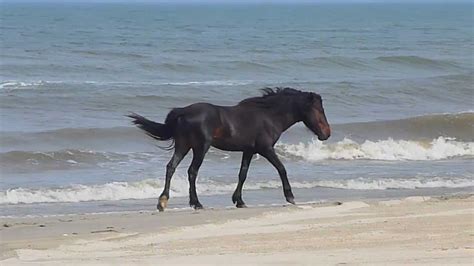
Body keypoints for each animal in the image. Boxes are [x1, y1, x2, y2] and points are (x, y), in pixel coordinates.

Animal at [128, 88, 332, 212]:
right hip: (200, 148)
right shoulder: (266, 149)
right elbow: (281, 169)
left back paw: (163, 202)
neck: (268, 115)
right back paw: (196, 203)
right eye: (319, 110)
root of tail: (183, 111)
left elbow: (243, 174)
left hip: (183, 146)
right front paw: (290, 197)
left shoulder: (249, 151)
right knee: (192, 172)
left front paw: (239, 201)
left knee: (171, 167)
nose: (327, 134)